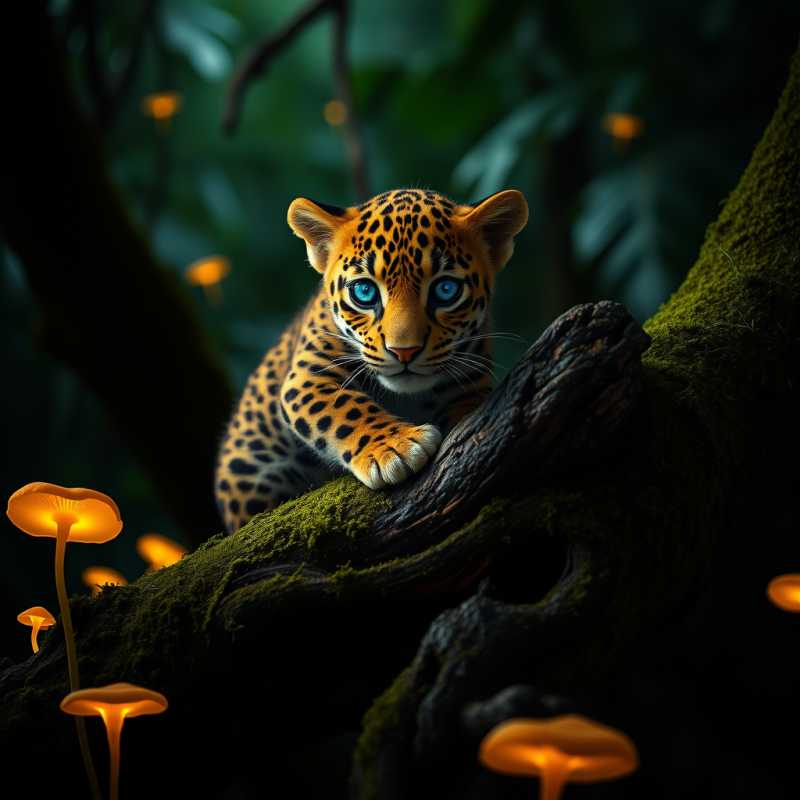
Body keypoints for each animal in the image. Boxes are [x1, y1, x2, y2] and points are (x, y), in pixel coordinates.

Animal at [215, 187, 529, 534]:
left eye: (446, 290)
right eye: (364, 292)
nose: (404, 351)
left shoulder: (470, 380)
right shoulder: (309, 374)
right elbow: (343, 408)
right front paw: (396, 449)